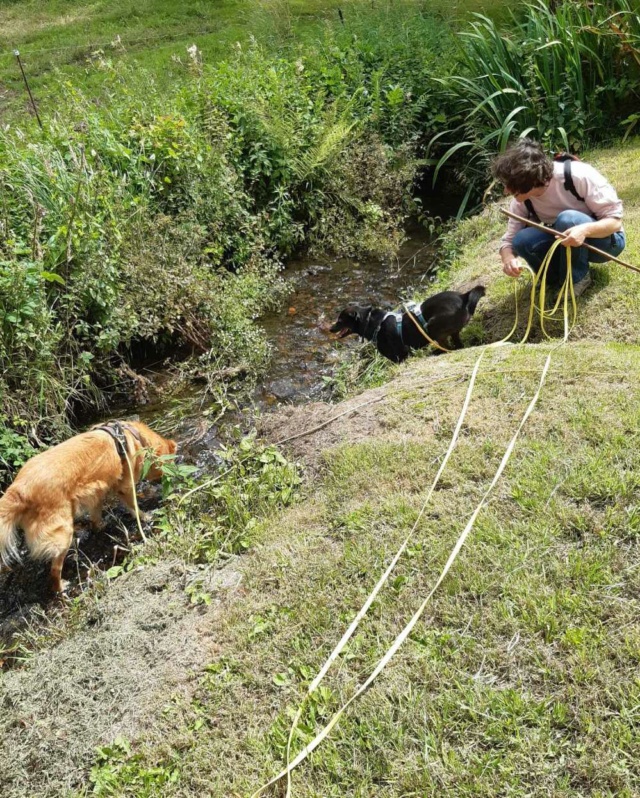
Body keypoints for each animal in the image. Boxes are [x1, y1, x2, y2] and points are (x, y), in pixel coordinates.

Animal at [0, 422, 176, 596]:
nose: (169, 484)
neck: (135, 436)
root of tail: (19, 488)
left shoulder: (97, 492)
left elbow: (96, 515)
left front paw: (99, 526)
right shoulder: (125, 487)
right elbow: (133, 506)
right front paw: (145, 517)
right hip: (63, 534)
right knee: (55, 570)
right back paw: (61, 587)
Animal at [330, 286, 484, 364]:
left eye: (340, 321)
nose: (330, 329)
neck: (371, 323)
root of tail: (463, 297)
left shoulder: (399, 355)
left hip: (432, 327)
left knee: (448, 347)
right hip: (451, 332)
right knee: (458, 346)